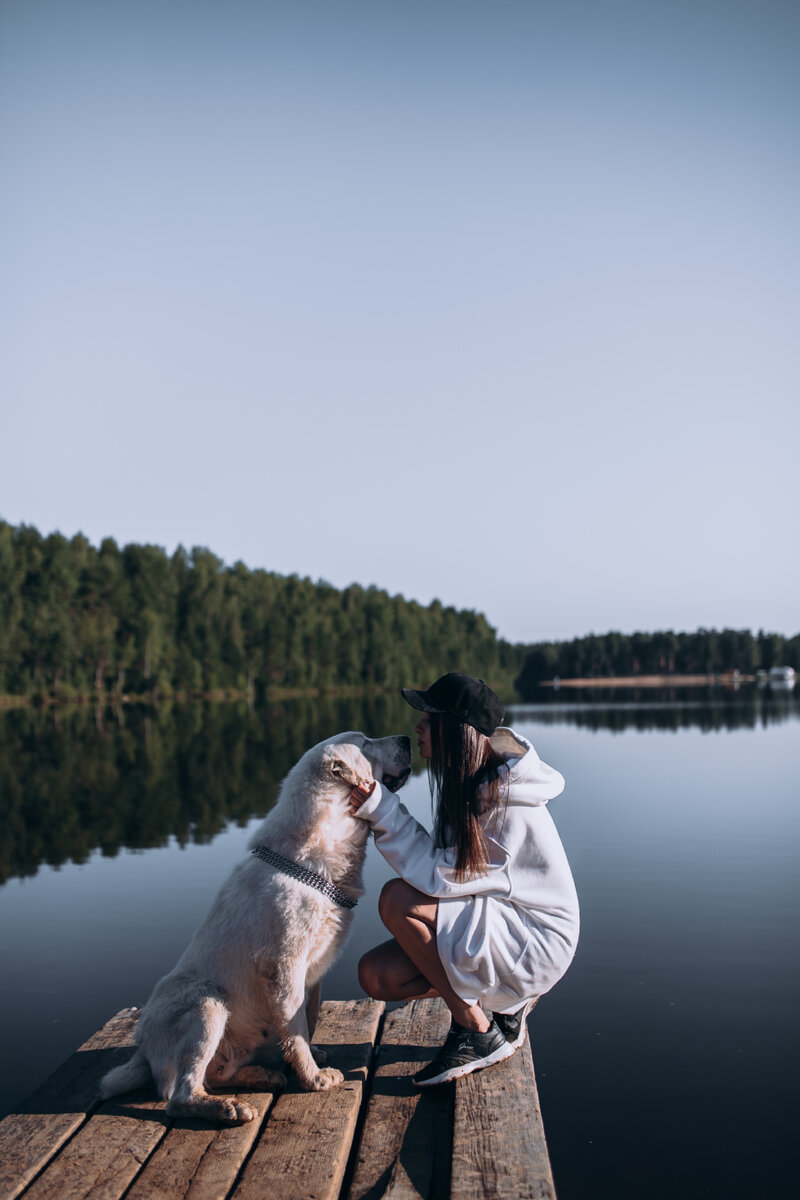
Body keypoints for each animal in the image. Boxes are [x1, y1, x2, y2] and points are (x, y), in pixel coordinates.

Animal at [98, 729, 412, 1123]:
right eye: (367, 743)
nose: (407, 738)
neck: (307, 862)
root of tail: (141, 1051)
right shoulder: (284, 967)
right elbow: (295, 1025)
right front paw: (313, 1077)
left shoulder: (313, 973)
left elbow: (307, 1019)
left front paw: (308, 1059)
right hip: (207, 1002)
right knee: (180, 1095)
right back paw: (226, 1107)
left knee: (215, 1074)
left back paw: (260, 1076)